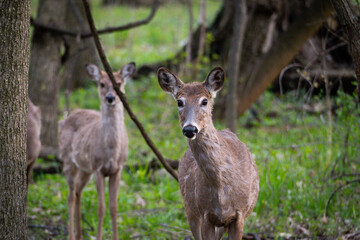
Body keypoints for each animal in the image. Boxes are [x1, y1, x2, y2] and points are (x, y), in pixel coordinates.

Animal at [59, 62, 136, 240]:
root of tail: (65, 118)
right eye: (101, 84)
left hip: (85, 169)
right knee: (70, 196)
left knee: (77, 192)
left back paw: (80, 235)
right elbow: (101, 208)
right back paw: (72, 235)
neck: (112, 150)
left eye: (118, 83)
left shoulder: (118, 169)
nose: (110, 98)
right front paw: (99, 236)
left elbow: (114, 207)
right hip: (68, 161)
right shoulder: (98, 168)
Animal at [158, 66, 258, 239]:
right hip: (190, 208)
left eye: (204, 101)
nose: (190, 129)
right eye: (179, 102)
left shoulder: (240, 214)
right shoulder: (205, 213)